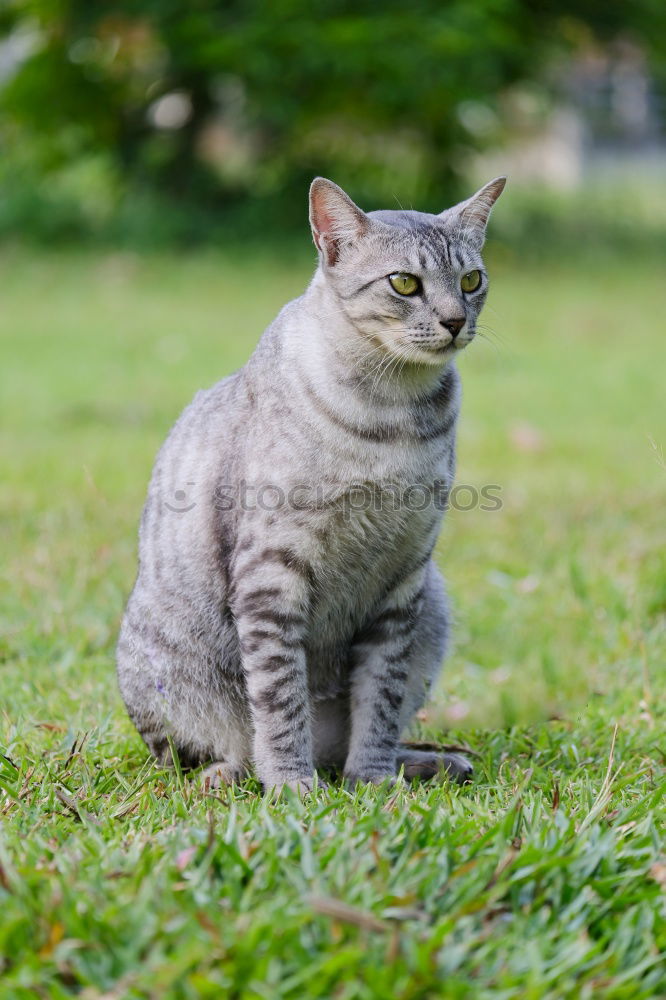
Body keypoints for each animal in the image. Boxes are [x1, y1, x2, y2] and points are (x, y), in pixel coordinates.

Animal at [118, 176, 504, 792]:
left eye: (471, 281)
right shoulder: (272, 572)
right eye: (404, 283)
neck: (393, 416)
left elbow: (379, 699)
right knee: (206, 749)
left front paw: (373, 779)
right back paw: (233, 774)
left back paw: (424, 763)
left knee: (354, 740)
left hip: (434, 607)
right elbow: (279, 699)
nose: (454, 320)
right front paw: (291, 785)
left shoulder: (404, 577)